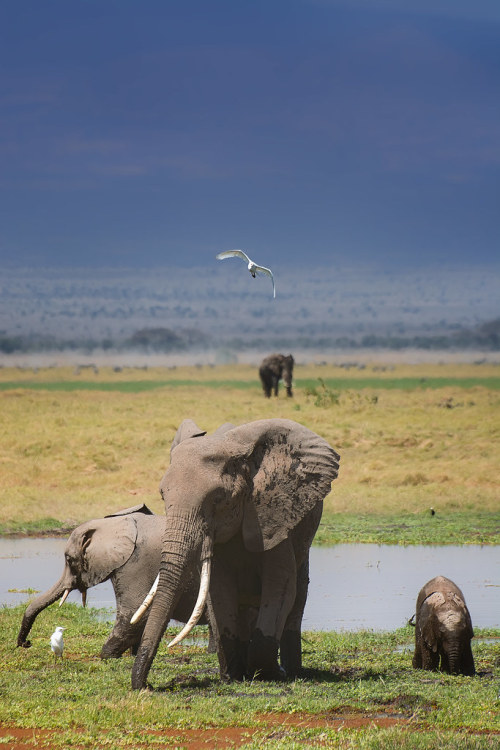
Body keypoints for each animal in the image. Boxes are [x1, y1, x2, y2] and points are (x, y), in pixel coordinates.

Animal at [132, 420, 340, 692]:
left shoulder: (273, 519)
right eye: (163, 496)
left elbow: (280, 588)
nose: (144, 686)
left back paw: (294, 671)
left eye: (218, 499)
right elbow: (220, 590)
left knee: (297, 597)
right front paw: (233, 676)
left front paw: (272, 674)